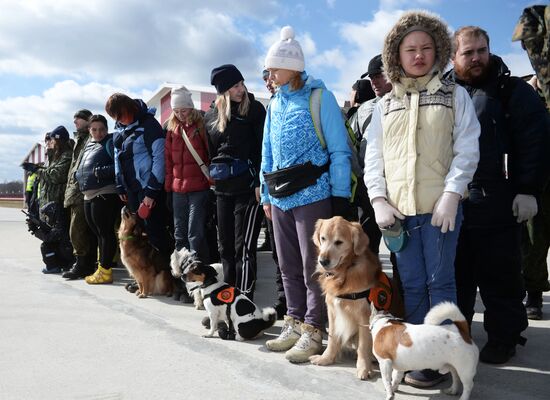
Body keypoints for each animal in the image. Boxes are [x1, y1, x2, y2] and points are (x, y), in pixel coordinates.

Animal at [312, 217, 386, 380]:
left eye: (339, 242)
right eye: (323, 238)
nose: (323, 261)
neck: (345, 271)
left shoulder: (364, 316)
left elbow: (363, 345)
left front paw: (364, 368)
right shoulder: (332, 311)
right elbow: (332, 337)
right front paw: (326, 358)